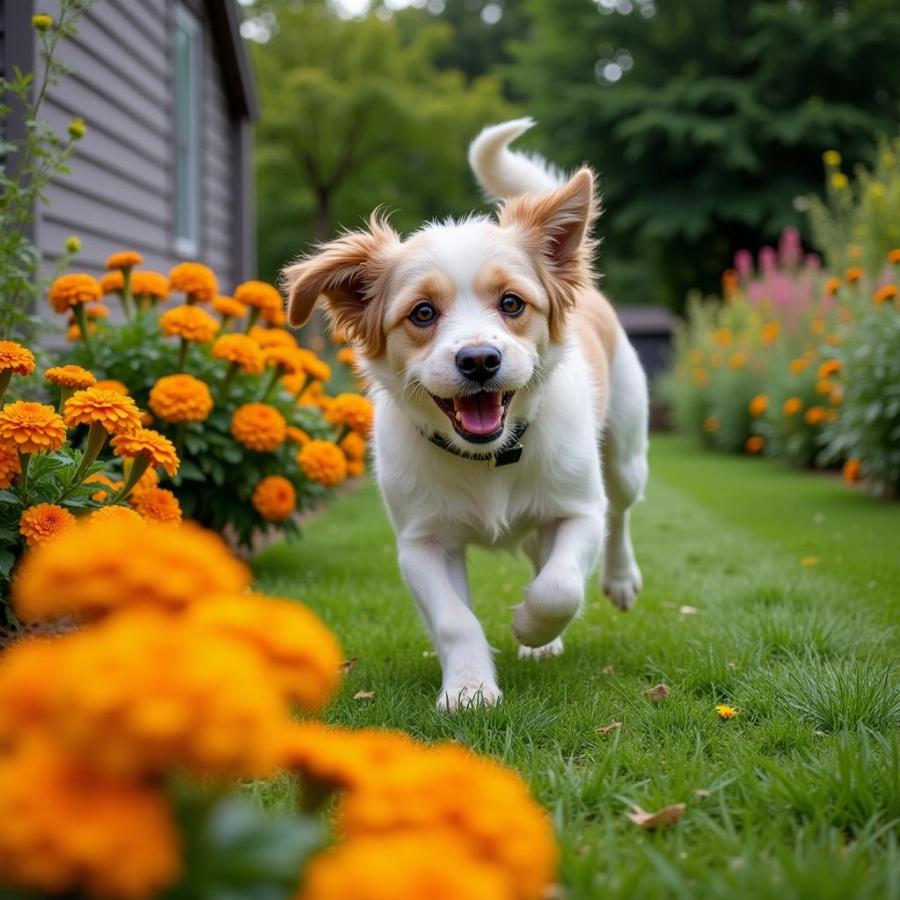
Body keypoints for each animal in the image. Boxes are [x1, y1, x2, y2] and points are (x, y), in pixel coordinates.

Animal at [282, 118, 648, 712]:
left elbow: (559, 587)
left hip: (625, 455)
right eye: (422, 313)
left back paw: (617, 579)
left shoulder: (578, 511)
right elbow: (456, 620)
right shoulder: (421, 542)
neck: (491, 458)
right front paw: (471, 687)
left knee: (620, 512)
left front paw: (528, 625)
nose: (479, 360)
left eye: (512, 303)